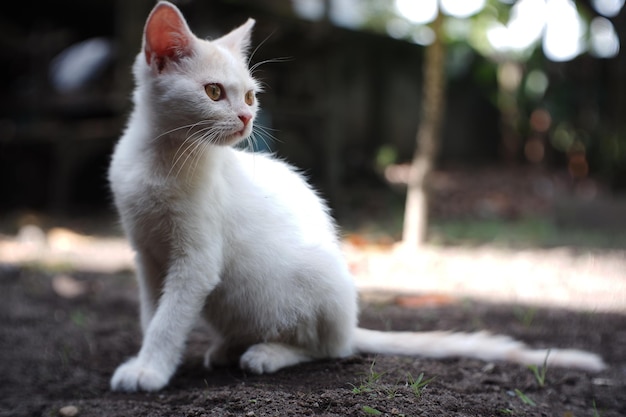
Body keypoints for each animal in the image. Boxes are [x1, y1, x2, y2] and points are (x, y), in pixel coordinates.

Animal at [108, 0, 604, 390]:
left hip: (319, 280)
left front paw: (149, 370)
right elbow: (153, 313)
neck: (160, 158)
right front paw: (148, 360)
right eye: (213, 92)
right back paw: (230, 347)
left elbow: (170, 319)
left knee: (329, 348)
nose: (248, 118)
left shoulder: (196, 261)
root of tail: (351, 324)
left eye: (249, 96)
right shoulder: (147, 255)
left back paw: (267, 353)